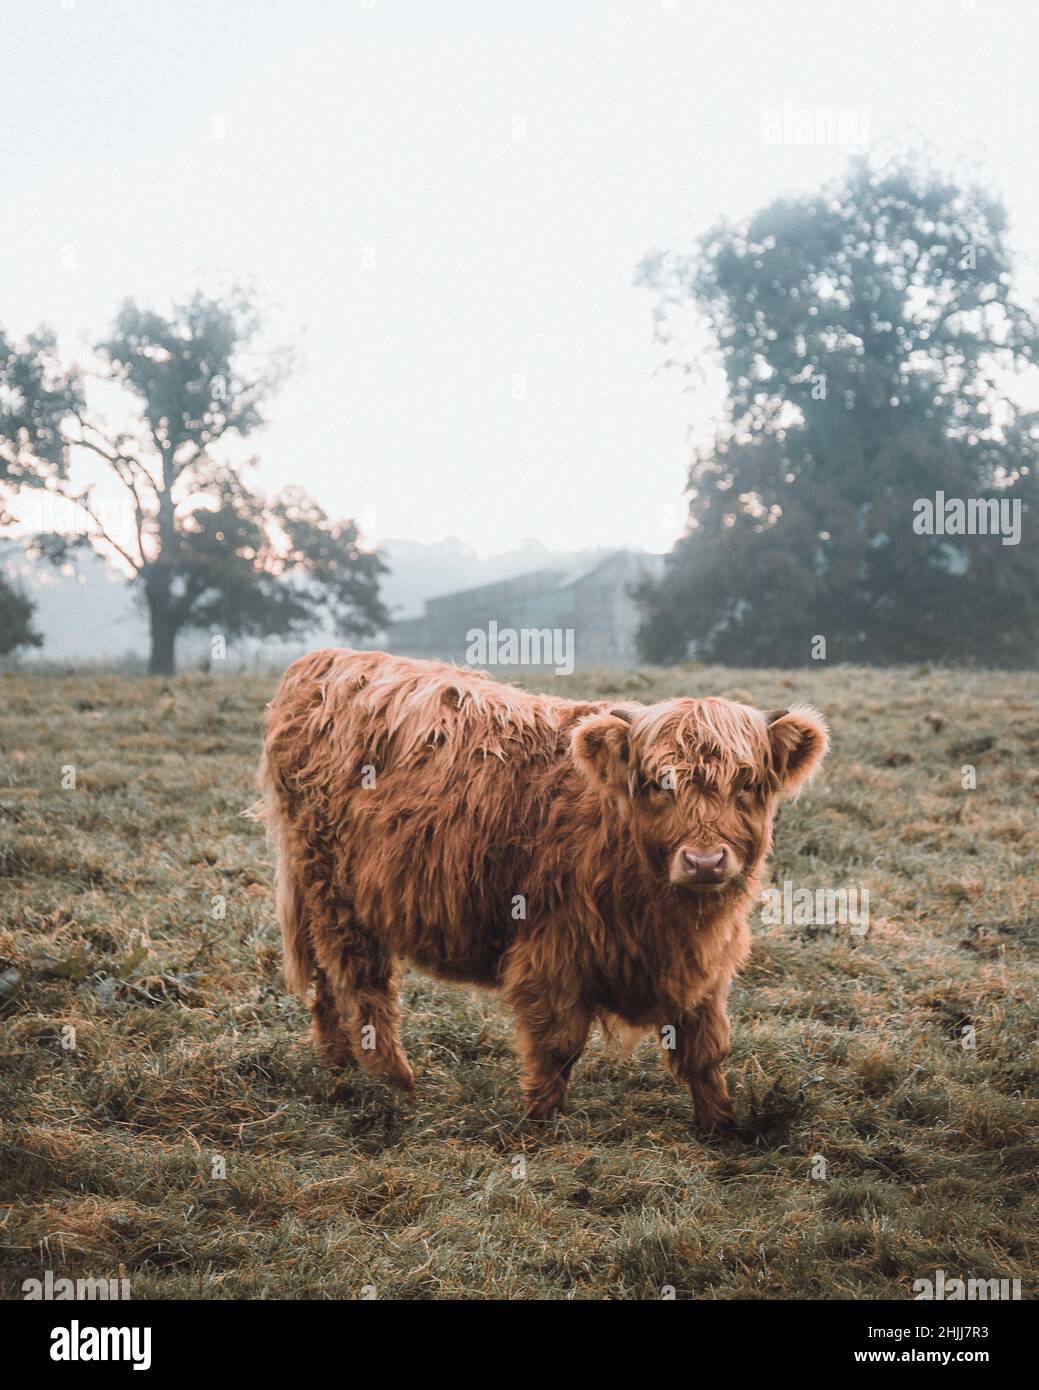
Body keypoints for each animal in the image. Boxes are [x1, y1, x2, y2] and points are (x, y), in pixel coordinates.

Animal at [258, 648, 828, 1131]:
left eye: (748, 784)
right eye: (657, 782)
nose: (705, 861)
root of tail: (324, 661)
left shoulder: (703, 965)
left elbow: (706, 1048)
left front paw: (720, 1126)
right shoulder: (553, 949)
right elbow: (557, 1044)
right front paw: (539, 1125)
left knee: (326, 982)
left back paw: (340, 1071)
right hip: (331, 887)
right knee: (360, 982)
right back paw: (395, 1084)